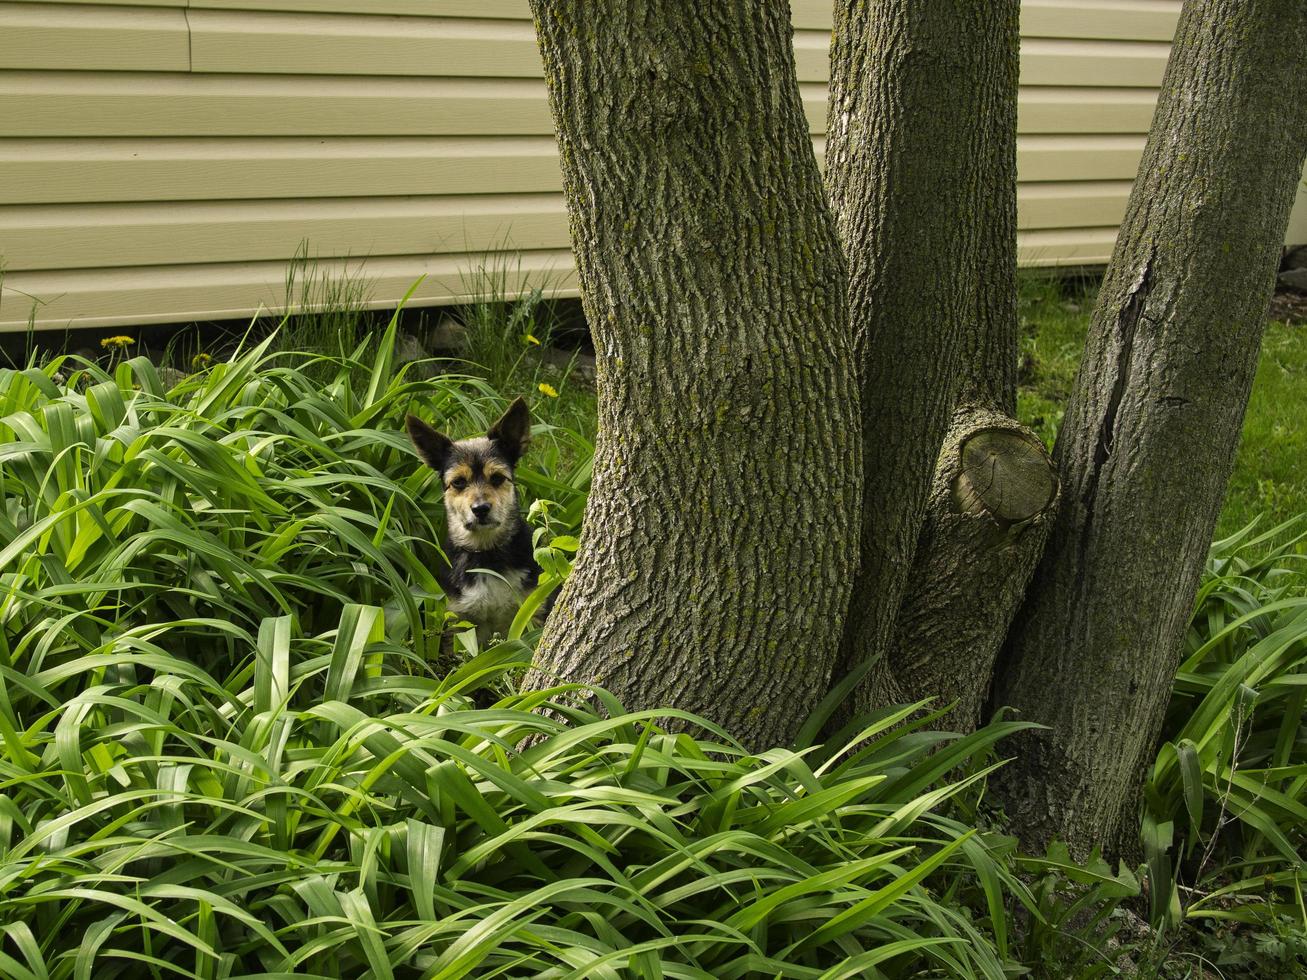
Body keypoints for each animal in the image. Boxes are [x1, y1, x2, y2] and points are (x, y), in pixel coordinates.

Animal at [399, 399, 538, 645]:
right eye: (458, 482)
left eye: (497, 478)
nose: (480, 509)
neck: (487, 556)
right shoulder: (457, 621)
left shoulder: (532, 609)